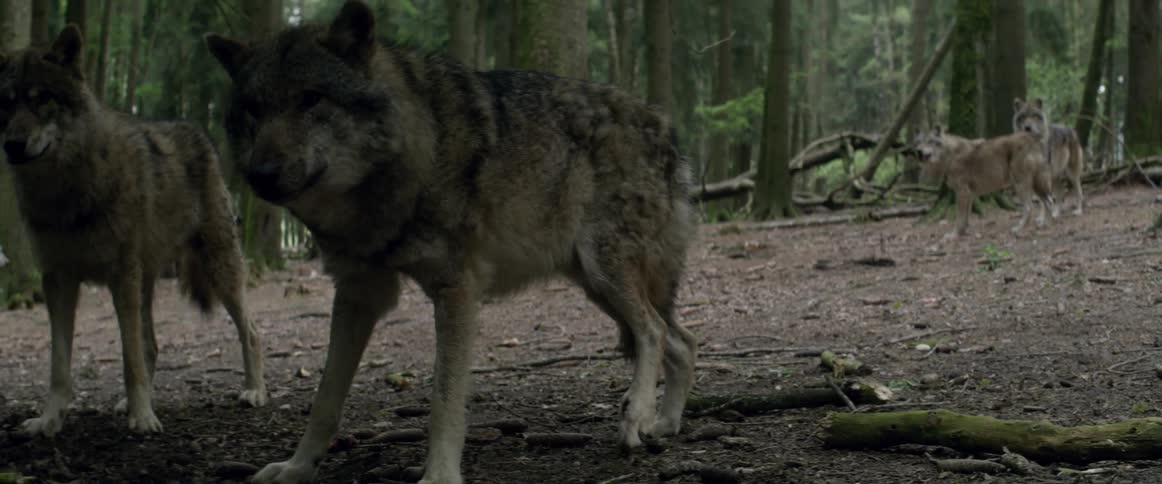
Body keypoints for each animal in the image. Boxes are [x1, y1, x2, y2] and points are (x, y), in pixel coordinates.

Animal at [0, 25, 267, 437]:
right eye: (5, 104)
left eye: (41, 98)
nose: (12, 145)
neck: (65, 192)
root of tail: (196, 131)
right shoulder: (57, 280)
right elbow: (59, 364)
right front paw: (49, 420)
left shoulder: (120, 275)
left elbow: (130, 359)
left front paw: (142, 417)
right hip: (147, 281)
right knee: (152, 345)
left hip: (219, 272)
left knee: (251, 331)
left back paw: (254, 391)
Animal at [204, 1, 697, 482]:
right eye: (252, 111)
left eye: (311, 99)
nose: (258, 175)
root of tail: (663, 124)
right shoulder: (358, 292)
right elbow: (325, 398)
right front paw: (297, 467)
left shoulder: (455, 289)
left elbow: (443, 402)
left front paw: (439, 475)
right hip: (596, 286)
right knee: (683, 341)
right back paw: (664, 424)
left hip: (605, 272)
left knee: (654, 331)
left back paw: (637, 416)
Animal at [914, 126, 1050, 238]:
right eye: (918, 142)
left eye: (930, 141)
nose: (919, 151)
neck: (950, 155)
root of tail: (1032, 138)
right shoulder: (969, 194)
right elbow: (966, 218)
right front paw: (964, 232)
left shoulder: (962, 192)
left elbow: (959, 218)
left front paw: (954, 235)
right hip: (1034, 185)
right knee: (1047, 202)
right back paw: (1045, 226)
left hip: (1020, 185)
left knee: (1030, 208)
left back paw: (1018, 229)